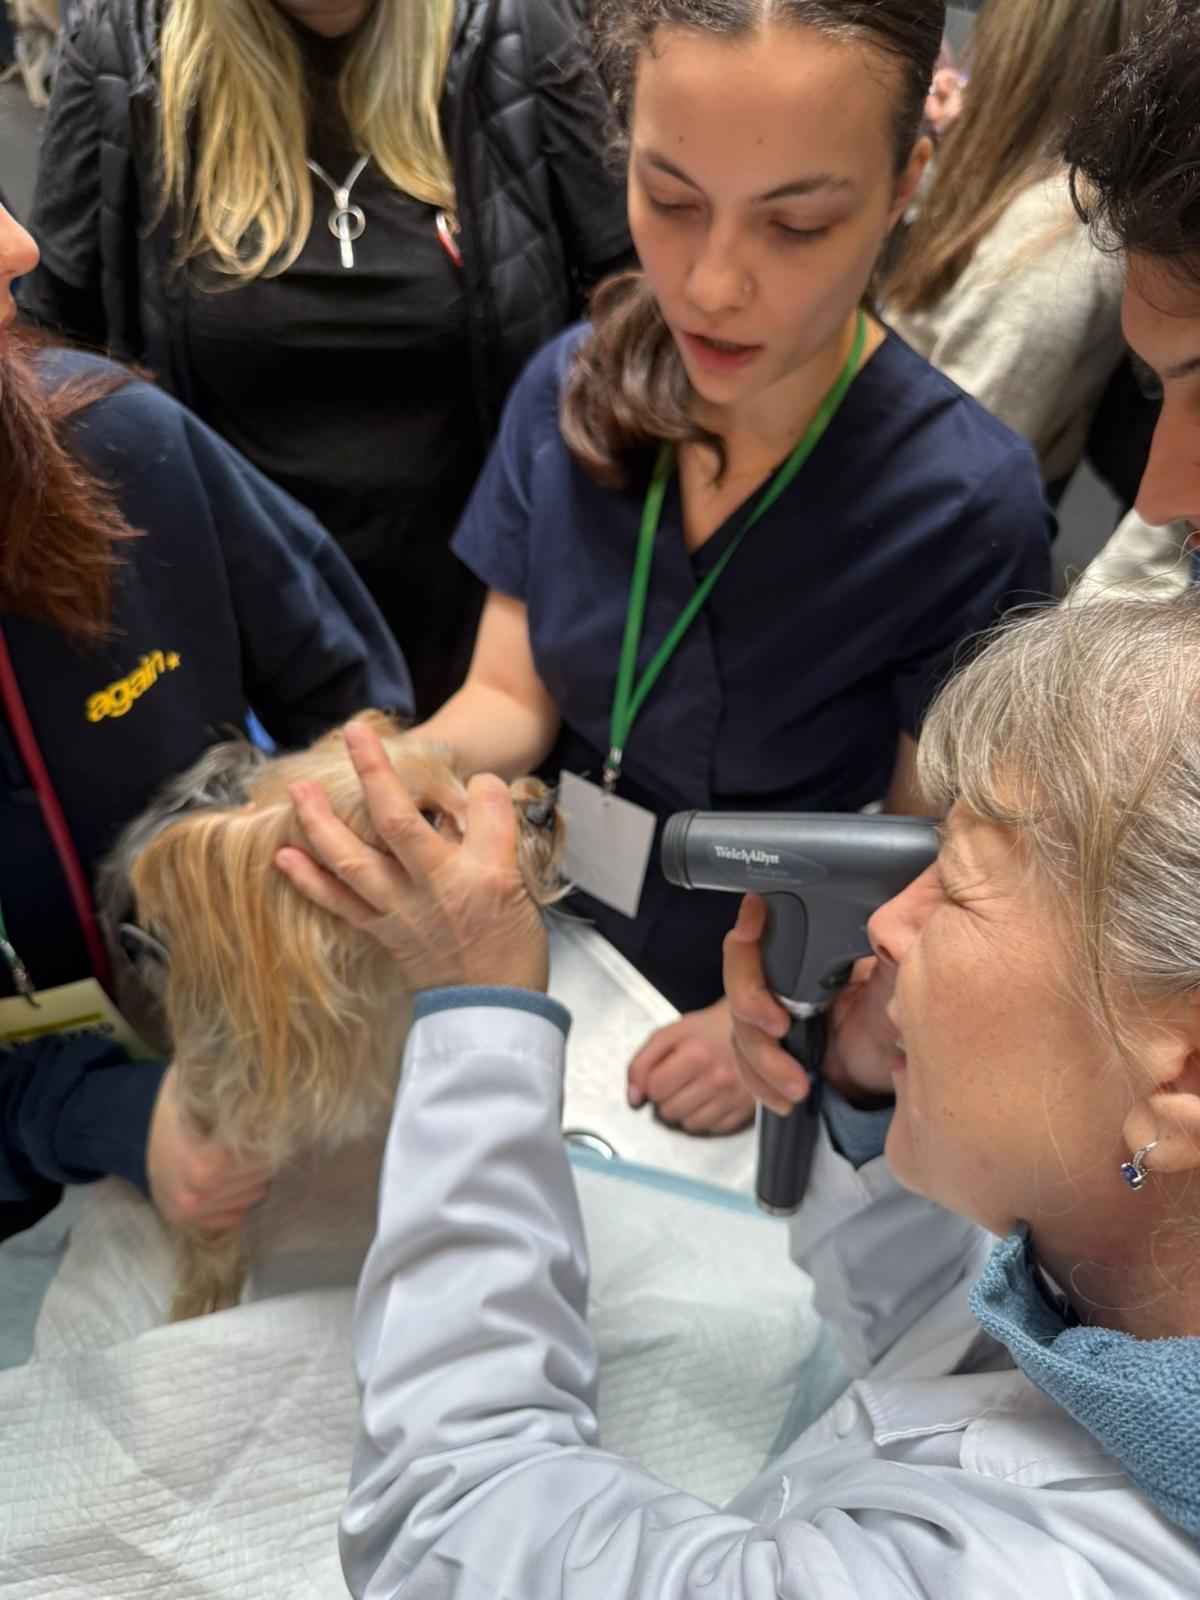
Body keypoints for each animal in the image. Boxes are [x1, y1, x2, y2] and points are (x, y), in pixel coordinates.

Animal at [97, 712, 563, 1322]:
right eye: (425, 820)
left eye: (463, 776)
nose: (542, 808)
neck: (365, 959)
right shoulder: (211, 1101)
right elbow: (209, 1216)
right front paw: (208, 1290)